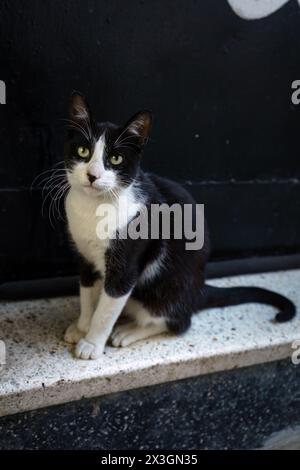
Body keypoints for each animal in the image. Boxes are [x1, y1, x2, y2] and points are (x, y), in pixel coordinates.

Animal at [63, 93, 296, 362]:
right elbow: (87, 294)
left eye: (115, 158)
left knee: (178, 321)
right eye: (83, 150)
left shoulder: (125, 266)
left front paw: (91, 343)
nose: (92, 175)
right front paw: (81, 327)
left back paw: (129, 331)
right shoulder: (84, 255)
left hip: (168, 287)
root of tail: (199, 290)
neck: (94, 207)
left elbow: (106, 310)